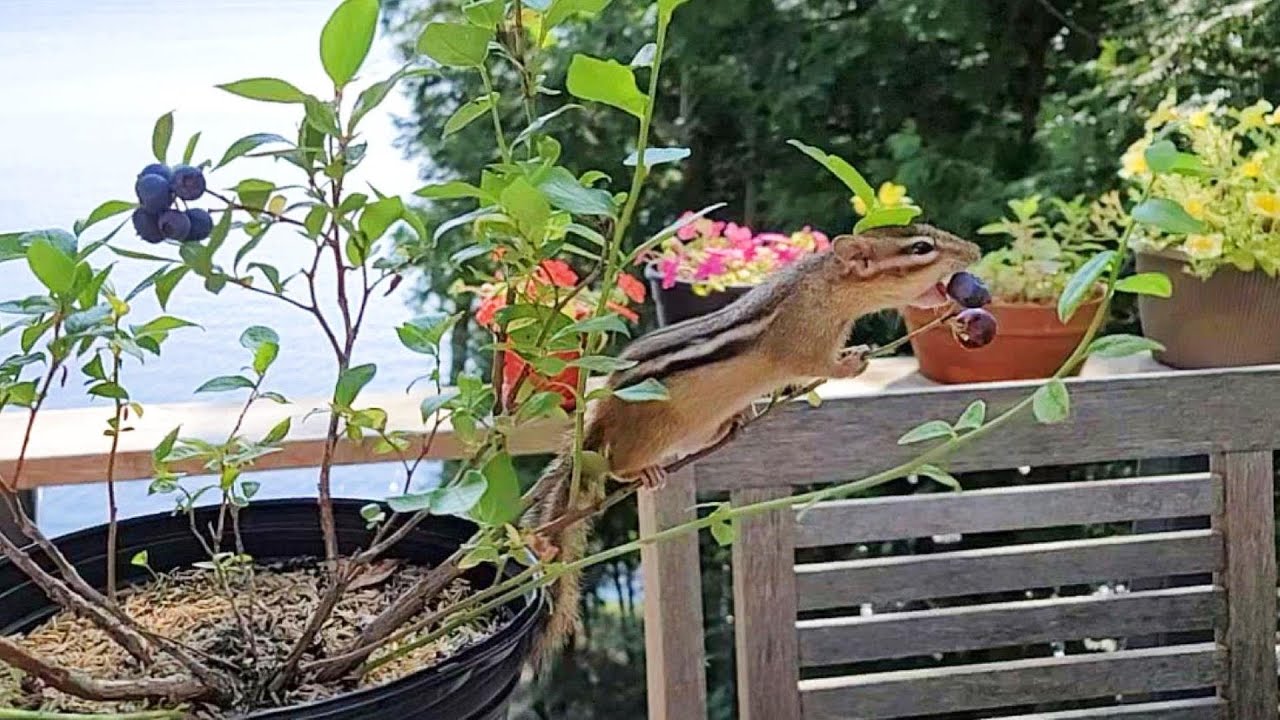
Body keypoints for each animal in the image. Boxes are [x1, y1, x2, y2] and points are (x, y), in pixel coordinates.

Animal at [522, 223, 980, 665]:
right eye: (921, 248)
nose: (973, 251)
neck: (829, 284)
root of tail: (602, 413)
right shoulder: (803, 341)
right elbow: (816, 365)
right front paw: (852, 361)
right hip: (649, 433)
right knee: (619, 462)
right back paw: (646, 470)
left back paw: (734, 421)